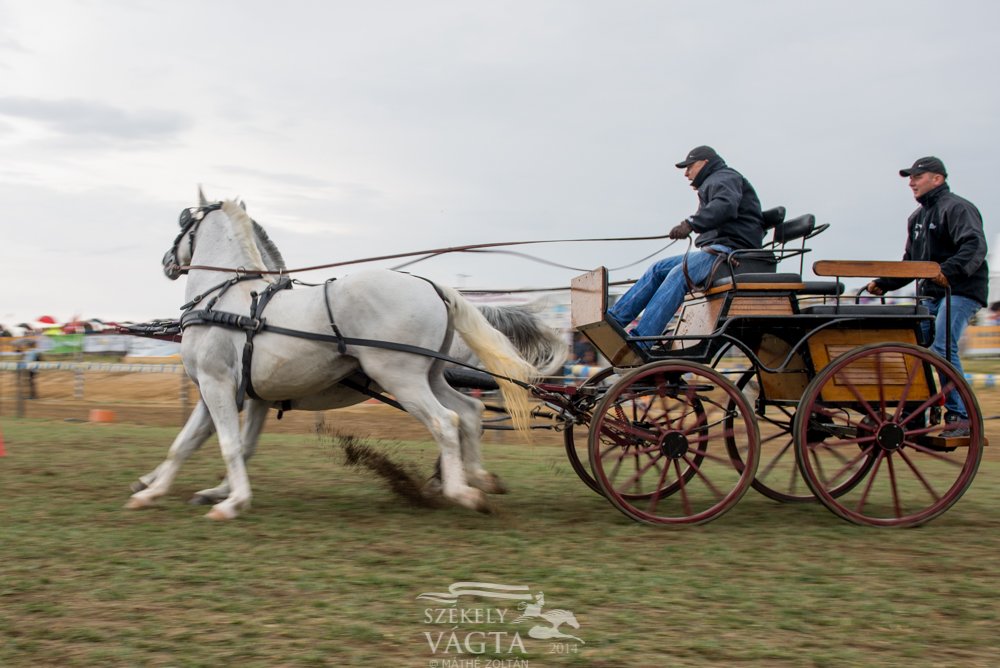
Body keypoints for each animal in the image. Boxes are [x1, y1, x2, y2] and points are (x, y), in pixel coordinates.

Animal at [130, 196, 544, 520]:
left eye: (184, 222)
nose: (167, 261)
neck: (225, 301)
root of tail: (433, 286)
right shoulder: (225, 390)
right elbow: (188, 443)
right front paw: (151, 492)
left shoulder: (217, 384)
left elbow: (229, 444)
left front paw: (232, 502)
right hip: (429, 375)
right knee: (469, 413)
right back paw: (479, 479)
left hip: (401, 377)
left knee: (445, 422)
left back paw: (463, 492)